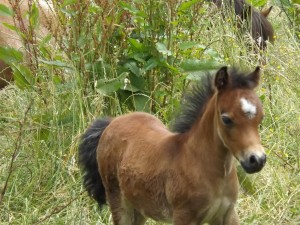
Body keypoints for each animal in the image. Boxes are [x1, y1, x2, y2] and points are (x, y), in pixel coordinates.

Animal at [78, 66, 266, 224]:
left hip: (139, 206)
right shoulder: (184, 216)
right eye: (226, 119)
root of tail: (112, 122)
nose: (257, 160)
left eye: (261, 117)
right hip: (118, 200)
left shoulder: (227, 213)